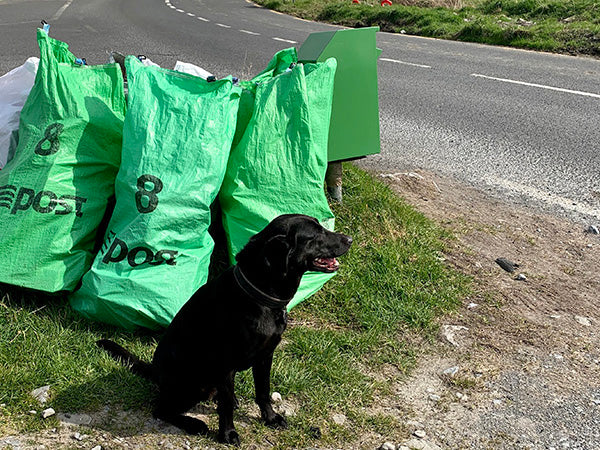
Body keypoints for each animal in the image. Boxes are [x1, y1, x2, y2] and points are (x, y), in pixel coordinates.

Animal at [97, 214, 352, 446]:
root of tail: (154, 371)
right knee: (162, 410)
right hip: (190, 382)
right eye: (315, 235)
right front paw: (228, 434)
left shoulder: (265, 356)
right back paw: (194, 423)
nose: (349, 239)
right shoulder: (225, 364)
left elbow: (263, 392)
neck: (258, 294)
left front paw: (270, 418)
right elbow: (227, 406)